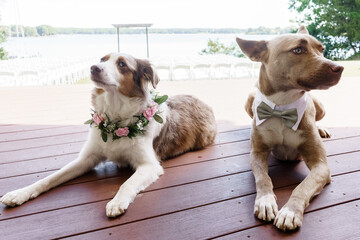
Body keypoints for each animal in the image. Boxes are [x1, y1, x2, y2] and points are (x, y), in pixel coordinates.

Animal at [0, 52, 217, 218]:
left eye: (122, 64)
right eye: (102, 59)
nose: (93, 68)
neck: (116, 118)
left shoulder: (149, 165)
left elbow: (127, 184)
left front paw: (116, 202)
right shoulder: (87, 158)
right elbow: (51, 177)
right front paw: (20, 193)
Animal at [236, 25, 344, 231]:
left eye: (322, 49)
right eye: (298, 50)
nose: (339, 68)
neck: (282, 106)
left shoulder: (321, 166)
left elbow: (302, 187)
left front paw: (290, 211)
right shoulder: (257, 154)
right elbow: (263, 178)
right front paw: (265, 201)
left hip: (320, 106)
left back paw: (321, 128)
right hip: (248, 99)